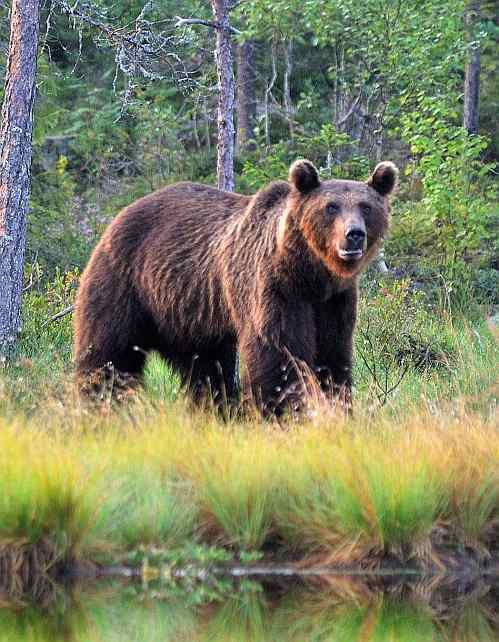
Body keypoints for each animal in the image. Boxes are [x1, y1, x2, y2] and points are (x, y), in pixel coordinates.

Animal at [75, 158, 398, 412]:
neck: (310, 274)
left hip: (188, 315)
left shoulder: (334, 300)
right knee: (110, 352)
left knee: (205, 369)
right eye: (331, 207)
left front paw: (338, 406)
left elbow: (333, 354)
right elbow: (277, 352)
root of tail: (119, 216)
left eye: (366, 206)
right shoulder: (273, 287)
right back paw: (99, 402)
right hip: (125, 283)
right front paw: (282, 410)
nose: (354, 235)